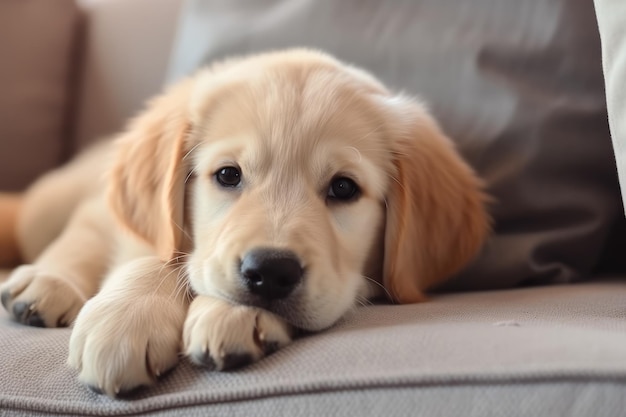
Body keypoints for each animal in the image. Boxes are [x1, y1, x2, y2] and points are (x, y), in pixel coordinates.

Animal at [0, 48, 488, 394]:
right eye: (228, 175)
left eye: (344, 188)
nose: (269, 271)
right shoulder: (121, 222)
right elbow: (150, 254)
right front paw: (122, 317)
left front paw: (230, 314)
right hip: (54, 203)